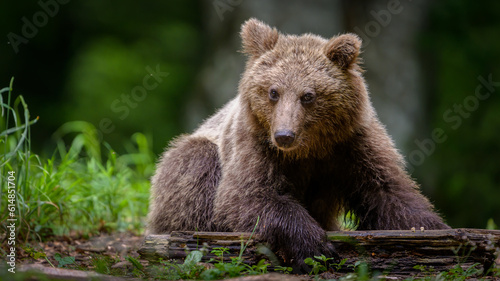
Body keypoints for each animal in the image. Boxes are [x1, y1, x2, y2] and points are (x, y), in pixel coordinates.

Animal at [148, 19, 450, 264]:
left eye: (308, 95)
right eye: (273, 92)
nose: (284, 135)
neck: (309, 148)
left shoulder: (352, 144)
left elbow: (388, 191)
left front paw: (434, 230)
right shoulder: (255, 143)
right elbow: (248, 195)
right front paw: (313, 246)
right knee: (195, 167)